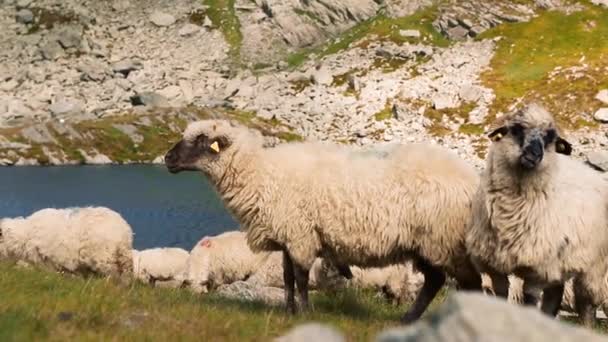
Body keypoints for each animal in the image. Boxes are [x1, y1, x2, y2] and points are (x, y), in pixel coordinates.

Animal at [164, 119, 482, 322]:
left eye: (201, 140)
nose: (167, 159)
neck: (261, 174)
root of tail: (471, 177)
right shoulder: (288, 237)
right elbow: (288, 278)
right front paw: (288, 312)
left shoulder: (301, 235)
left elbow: (302, 278)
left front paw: (304, 313)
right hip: (428, 243)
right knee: (435, 281)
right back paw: (408, 319)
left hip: (443, 240)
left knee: (467, 283)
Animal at [466, 103, 608, 328]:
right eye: (516, 129)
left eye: (550, 137)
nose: (533, 155)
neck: (511, 213)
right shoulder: (495, 266)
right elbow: (501, 297)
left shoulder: (537, 270)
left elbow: (530, 301)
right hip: (559, 263)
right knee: (554, 295)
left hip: (593, 264)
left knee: (586, 303)